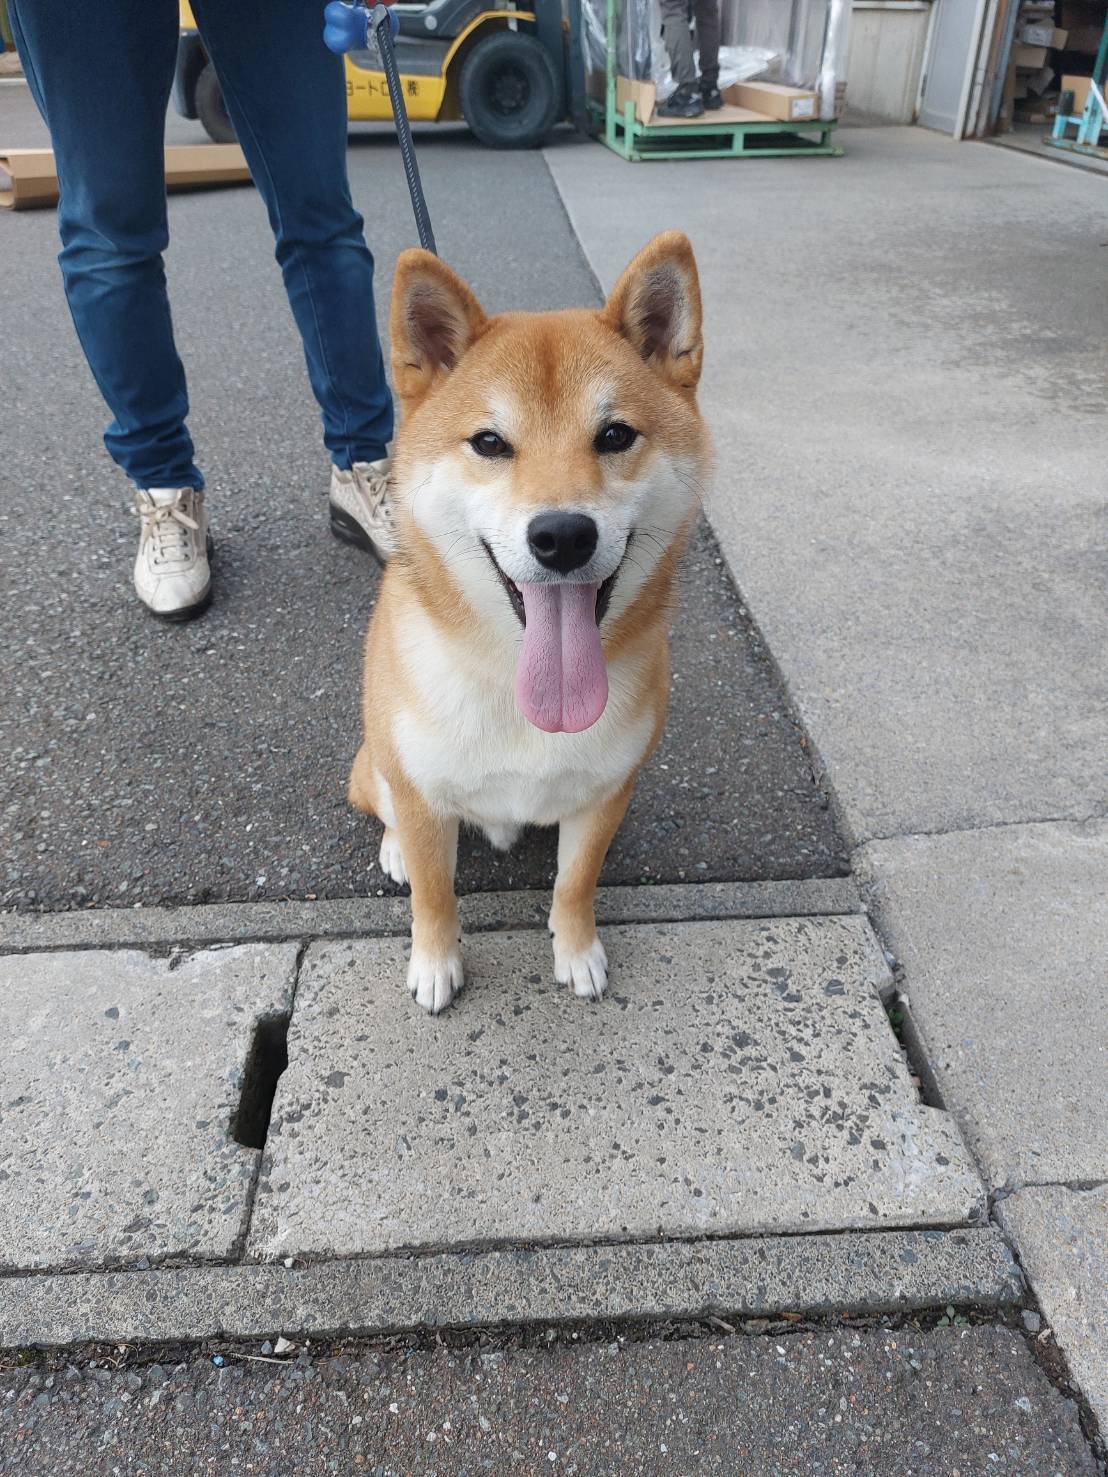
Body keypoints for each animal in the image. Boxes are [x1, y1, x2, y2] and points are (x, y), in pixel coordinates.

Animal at [348, 230, 712, 1016]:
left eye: (615, 435)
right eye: (490, 443)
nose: (563, 535)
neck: (522, 695)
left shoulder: (606, 791)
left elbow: (577, 881)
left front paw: (577, 953)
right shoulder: (421, 793)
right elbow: (434, 894)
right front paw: (435, 964)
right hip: (374, 761)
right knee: (388, 810)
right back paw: (393, 849)